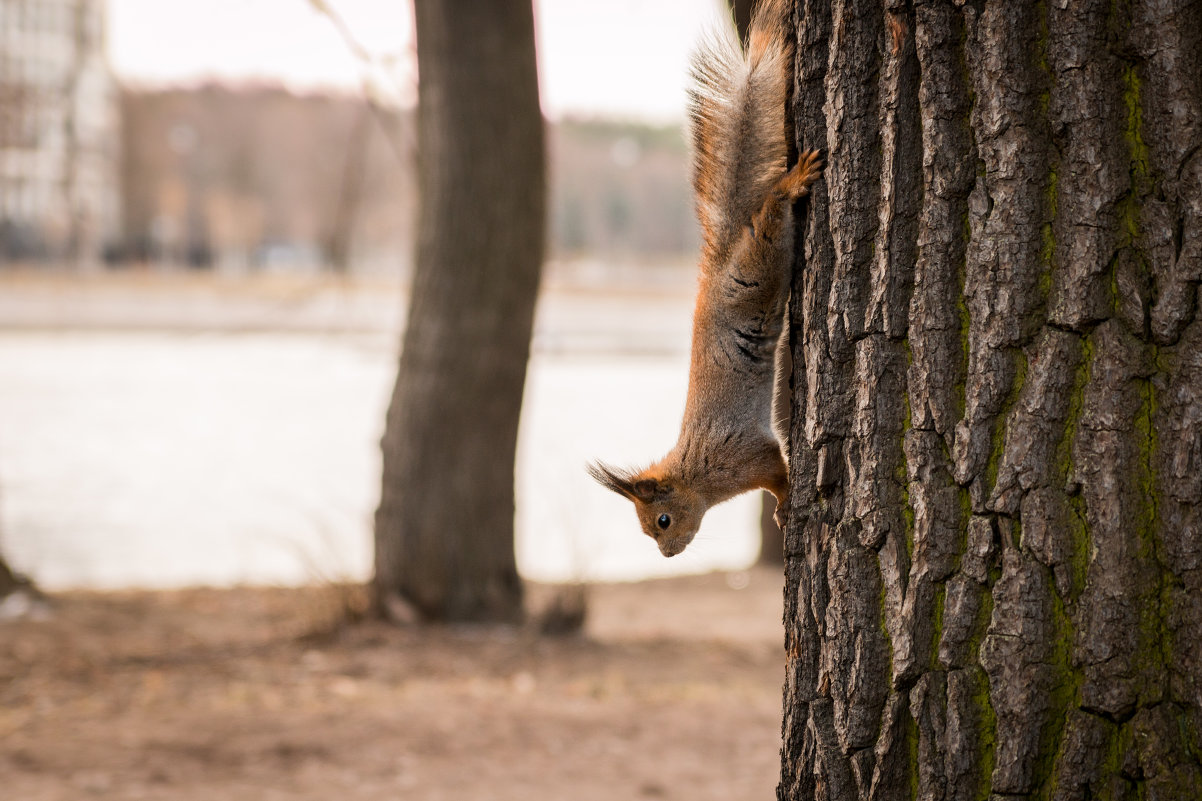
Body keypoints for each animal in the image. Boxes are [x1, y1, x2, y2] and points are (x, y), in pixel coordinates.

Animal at [588, 0, 822, 558]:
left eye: (662, 520)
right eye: (650, 530)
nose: (667, 554)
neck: (697, 472)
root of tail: (719, 266)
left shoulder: (747, 455)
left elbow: (779, 472)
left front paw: (784, 506)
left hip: (758, 269)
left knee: (771, 217)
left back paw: (792, 184)